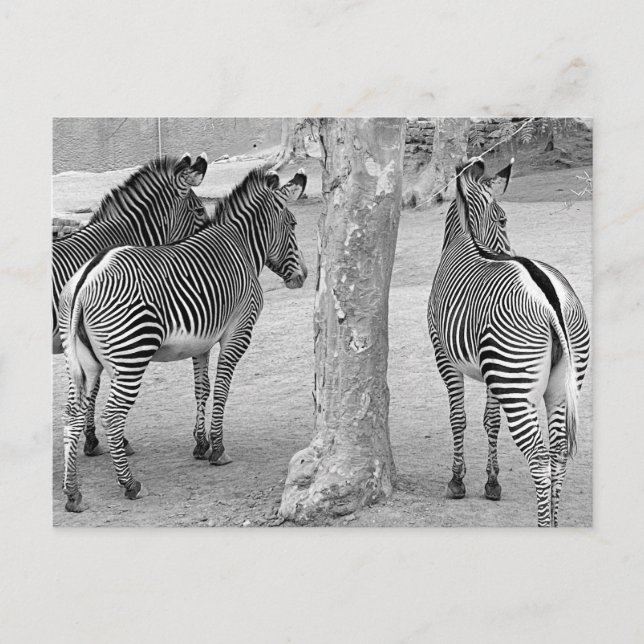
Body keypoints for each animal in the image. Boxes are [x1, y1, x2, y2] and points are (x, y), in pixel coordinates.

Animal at [427, 157, 590, 527]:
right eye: (503, 220)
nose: (509, 252)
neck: (467, 239)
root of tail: (550, 299)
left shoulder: (444, 355)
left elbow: (458, 416)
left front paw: (457, 481)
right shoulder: (492, 370)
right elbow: (491, 420)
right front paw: (491, 481)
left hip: (516, 384)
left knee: (540, 458)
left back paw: (544, 526)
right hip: (559, 383)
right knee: (558, 454)